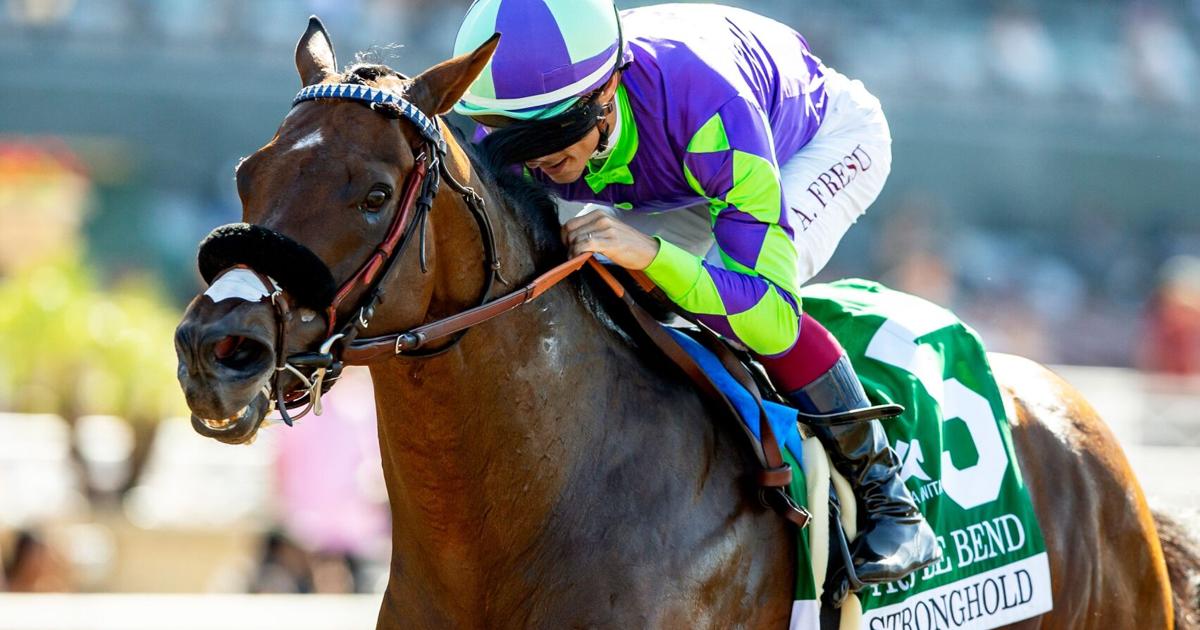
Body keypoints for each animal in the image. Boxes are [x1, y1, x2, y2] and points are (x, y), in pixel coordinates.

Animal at [174, 18, 1190, 628]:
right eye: (247, 174)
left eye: (376, 192)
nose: (215, 350)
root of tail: (1076, 412)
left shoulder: (723, 123)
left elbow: (763, 293)